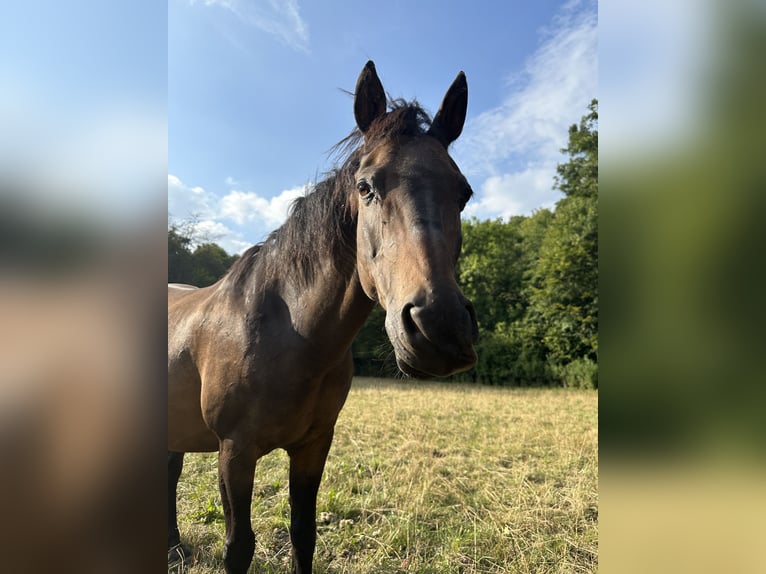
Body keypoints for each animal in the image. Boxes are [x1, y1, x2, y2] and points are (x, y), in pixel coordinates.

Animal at [168, 61, 479, 574]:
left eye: (464, 193)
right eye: (365, 187)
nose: (441, 328)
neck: (290, 335)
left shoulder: (314, 446)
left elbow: (303, 534)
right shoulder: (234, 452)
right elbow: (239, 546)